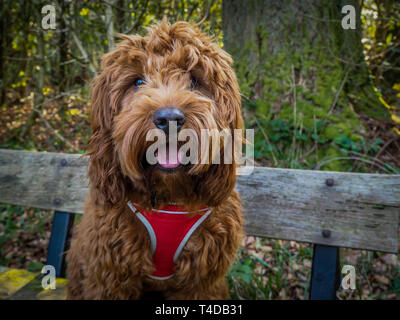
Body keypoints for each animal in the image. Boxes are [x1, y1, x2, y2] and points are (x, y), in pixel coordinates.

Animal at [66, 20, 244, 300]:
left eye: (194, 79)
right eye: (138, 81)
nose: (169, 118)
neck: (168, 196)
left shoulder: (202, 282)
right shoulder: (110, 276)